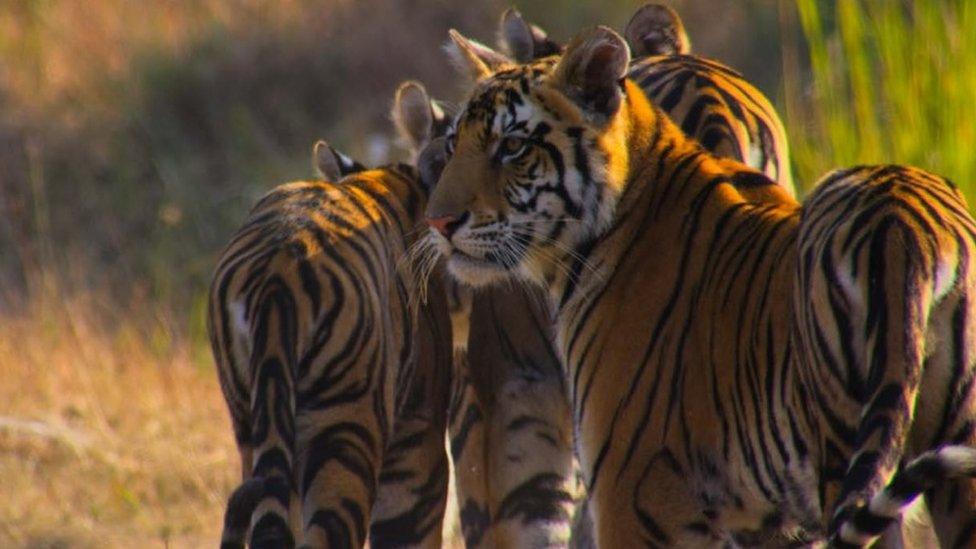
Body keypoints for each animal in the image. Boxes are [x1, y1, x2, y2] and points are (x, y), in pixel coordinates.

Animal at [419, 24, 976, 548]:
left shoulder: (633, 496)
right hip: (956, 464)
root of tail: (905, 228)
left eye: (512, 146)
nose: (438, 222)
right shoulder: (764, 527)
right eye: (454, 144)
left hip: (839, 450)